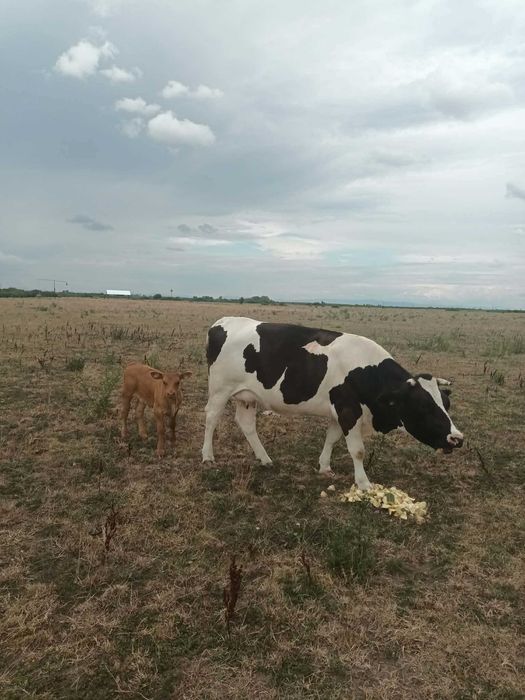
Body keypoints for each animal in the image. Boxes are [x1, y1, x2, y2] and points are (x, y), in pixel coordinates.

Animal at [202, 317, 463, 490]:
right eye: (424, 406)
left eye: (447, 403)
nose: (457, 439)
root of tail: (223, 321)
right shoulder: (348, 410)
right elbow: (357, 450)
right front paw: (364, 483)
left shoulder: (339, 412)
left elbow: (331, 439)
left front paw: (325, 467)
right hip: (220, 389)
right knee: (211, 418)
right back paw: (208, 456)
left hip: (247, 396)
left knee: (246, 424)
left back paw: (264, 458)